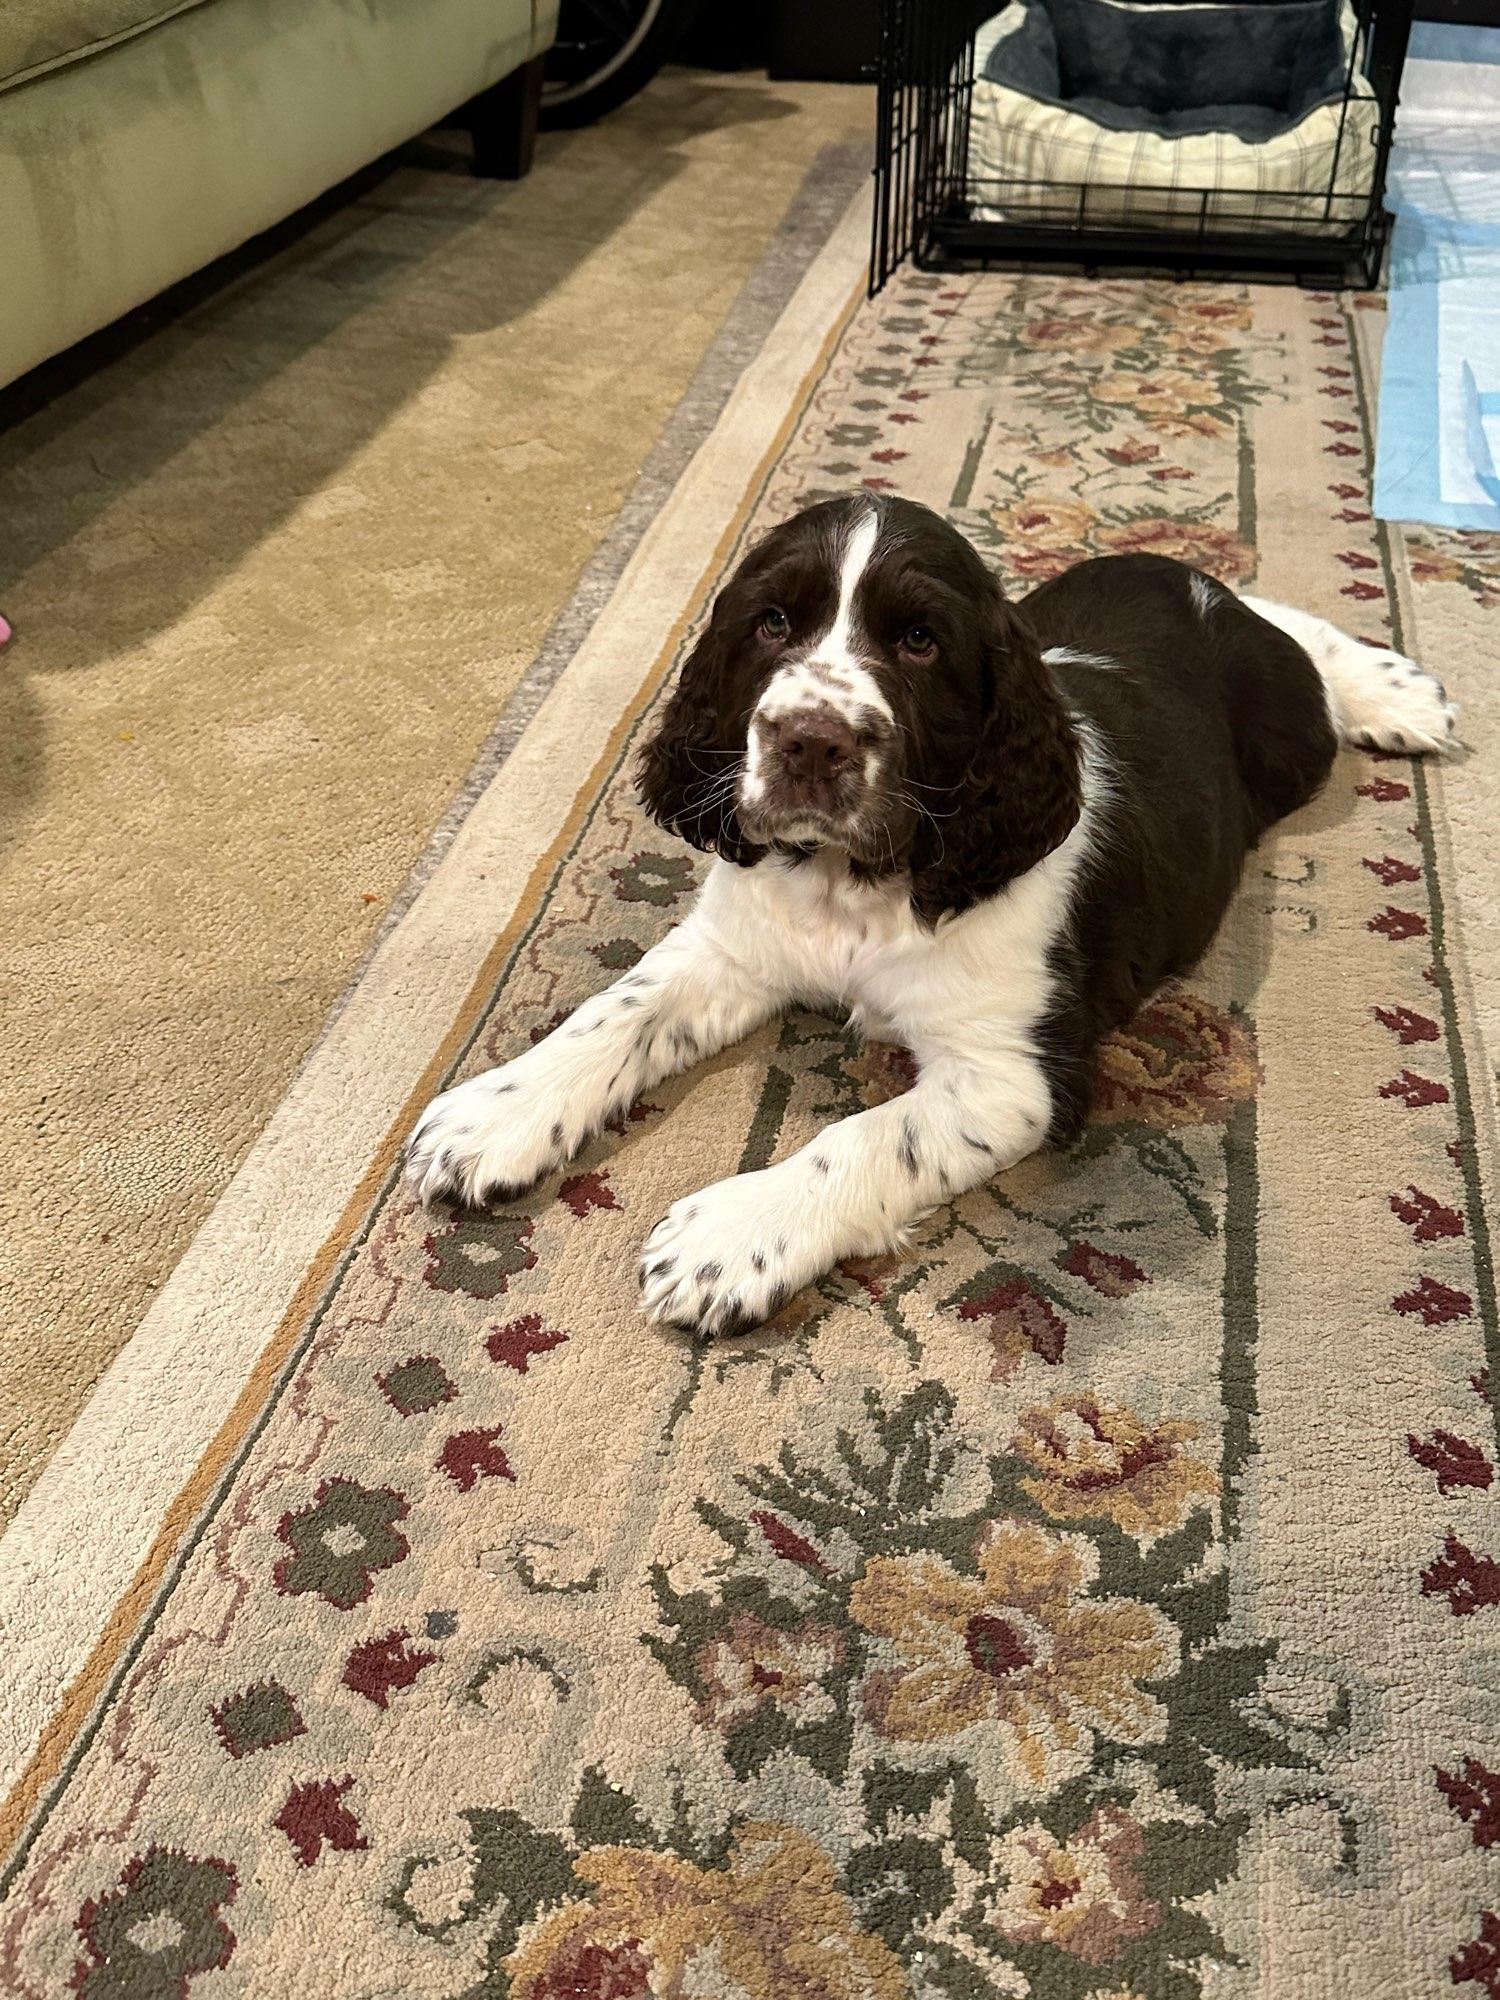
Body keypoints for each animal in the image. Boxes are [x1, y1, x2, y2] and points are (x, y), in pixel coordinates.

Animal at [407, 495, 1457, 1337]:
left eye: (919, 641)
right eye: (772, 623)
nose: (809, 743)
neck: (858, 883)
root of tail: (1184, 575)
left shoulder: (1013, 1077)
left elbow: (863, 1139)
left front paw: (731, 1239)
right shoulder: (733, 945)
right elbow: (614, 1012)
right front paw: (491, 1116)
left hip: (1291, 742)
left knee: (1302, 650)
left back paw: (1394, 690)